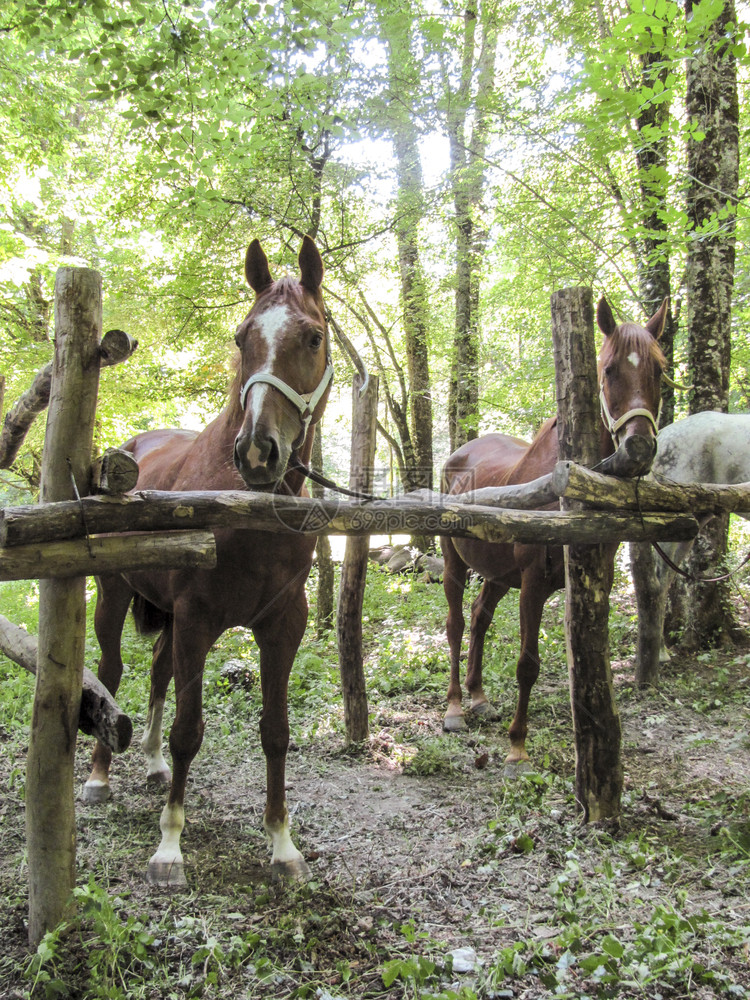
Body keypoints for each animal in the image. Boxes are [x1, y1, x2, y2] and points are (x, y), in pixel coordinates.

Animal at [80, 236, 334, 884]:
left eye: (312, 337)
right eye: (242, 337)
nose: (258, 451)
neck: (247, 504)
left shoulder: (281, 626)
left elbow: (275, 732)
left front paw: (282, 843)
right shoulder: (197, 618)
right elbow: (188, 730)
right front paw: (169, 846)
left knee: (158, 671)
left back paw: (149, 765)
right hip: (115, 595)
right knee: (112, 674)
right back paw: (98, 776)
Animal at [440, 296, 668, 764]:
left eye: (659, 369)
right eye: (608, 370)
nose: (638, 448)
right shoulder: (532, 584)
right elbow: (528, 664)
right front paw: (517, 748)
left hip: (497, 573)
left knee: (479, 616)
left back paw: (479, 698)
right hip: (456, 564)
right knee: (456, 624)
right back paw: (454, 708)